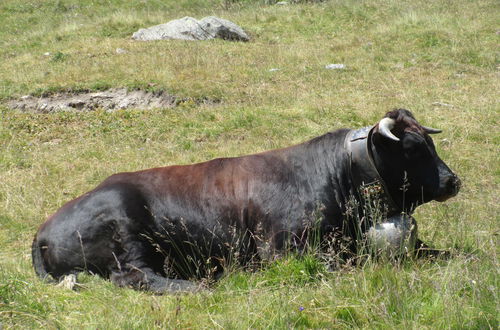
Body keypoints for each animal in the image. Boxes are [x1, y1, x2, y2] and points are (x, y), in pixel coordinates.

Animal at [31, 109, 460, 292]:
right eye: (413, 148)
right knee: (133, 277)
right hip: (124, 231)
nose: (453, 181)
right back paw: (197, 286)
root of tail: (44, 230)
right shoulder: (283, 251)